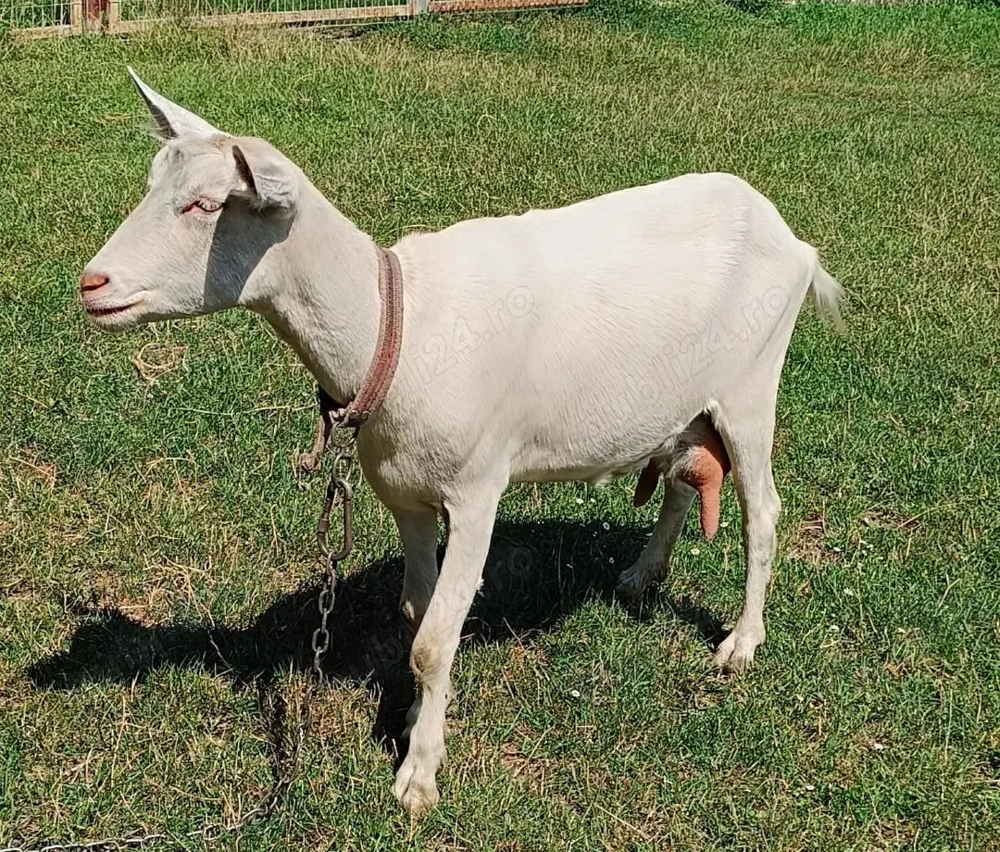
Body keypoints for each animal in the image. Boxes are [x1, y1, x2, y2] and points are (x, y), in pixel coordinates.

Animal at [79, 70, 843, 816]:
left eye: (205, 206)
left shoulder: (477, 489)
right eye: (155, 185)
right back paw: (641, 575)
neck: (394, 325)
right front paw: (419, 723)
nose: (91, 284)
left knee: (763, 511)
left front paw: (419, 777)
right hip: (686, 400)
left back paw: (740, 644)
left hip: (752, 381)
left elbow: (435, 639)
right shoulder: (406, 496)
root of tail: (795, 242)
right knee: (684, 480)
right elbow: (417, 618)